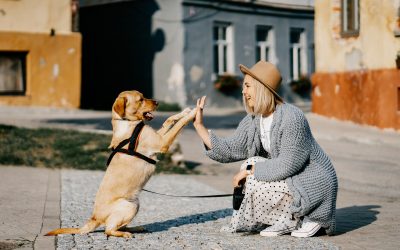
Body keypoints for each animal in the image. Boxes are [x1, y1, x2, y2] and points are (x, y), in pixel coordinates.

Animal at [45, 90, 197, 238]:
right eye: (140, 99)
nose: (157, 102)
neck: (128, 123)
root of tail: (94, 218)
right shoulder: (161, 142)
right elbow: (179, 124)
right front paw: (193, 113)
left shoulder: (158, 136)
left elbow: (169, 120)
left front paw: (184, 112)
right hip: (129, 205)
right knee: (108, 230)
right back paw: (124, 233)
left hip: (135, 204)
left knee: (118, 225)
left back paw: (136, 228)